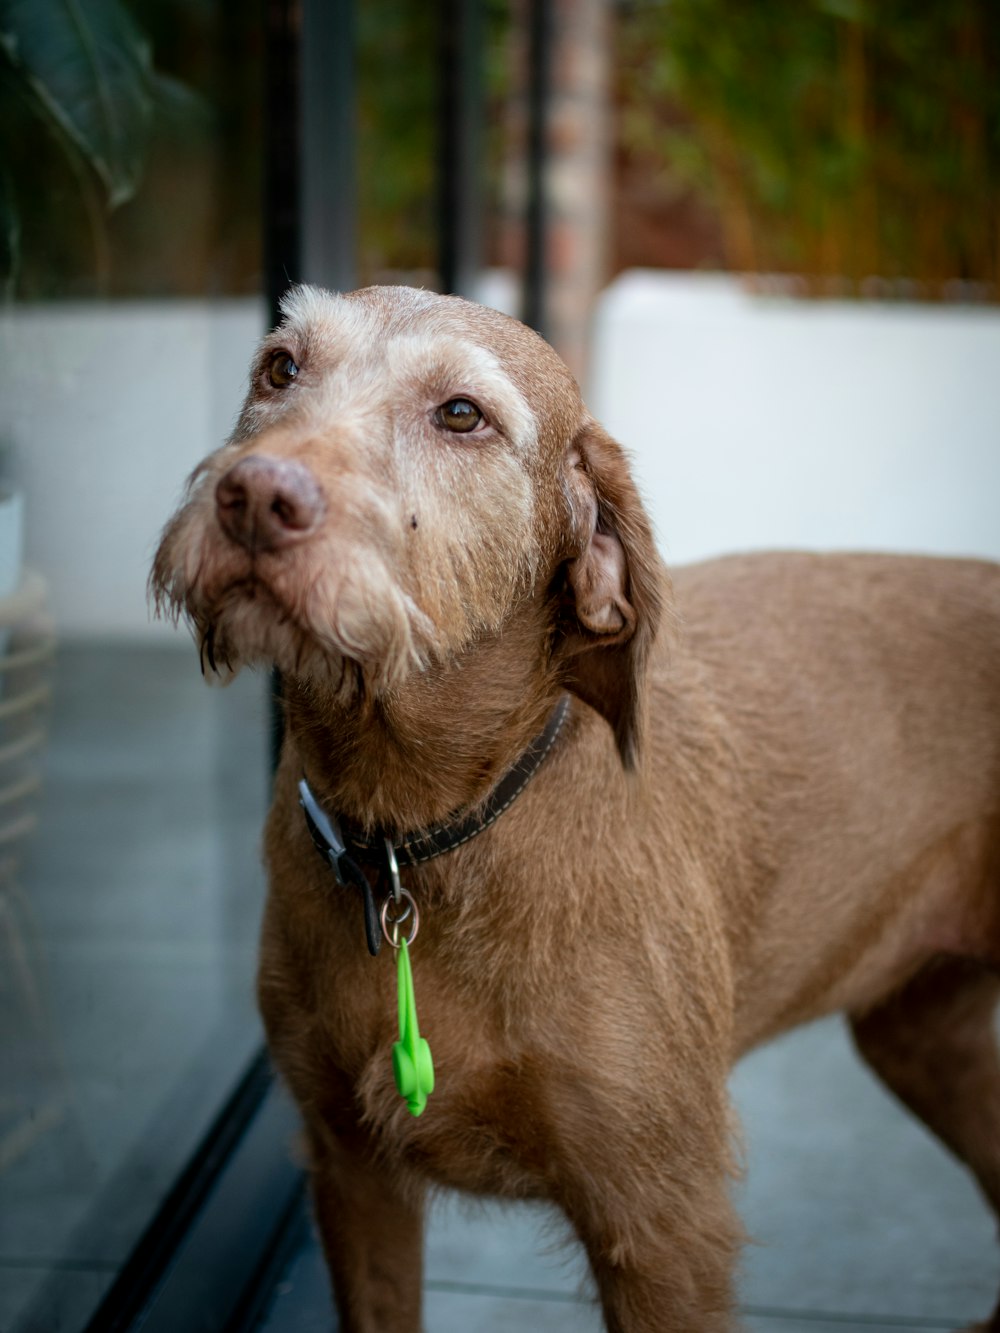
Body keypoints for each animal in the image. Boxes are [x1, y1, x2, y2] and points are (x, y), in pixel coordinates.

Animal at [150, 283, 1000, 1333]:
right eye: (279, 368)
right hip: (923, 1035)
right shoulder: (352, 1174)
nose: (255, 497)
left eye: (462, 413)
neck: (417, 834)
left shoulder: (663, 1226)